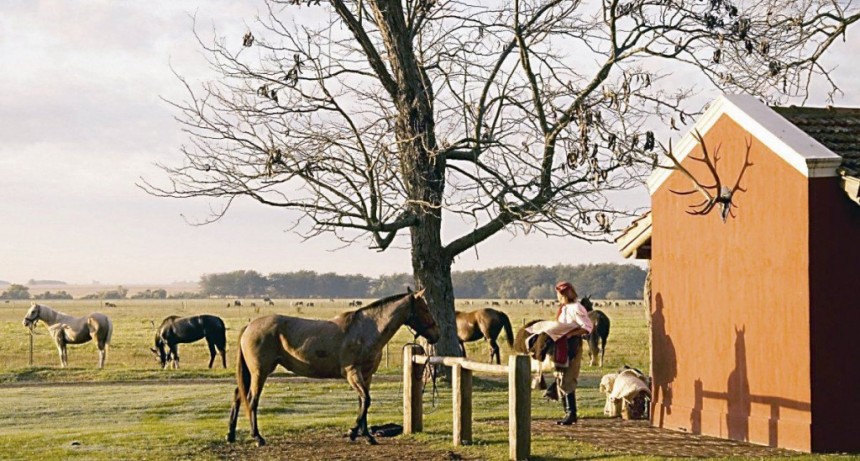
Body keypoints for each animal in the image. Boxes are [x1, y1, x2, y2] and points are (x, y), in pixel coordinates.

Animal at [225, 288, 440, 446]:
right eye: (425, 309)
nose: (436, 335)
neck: (365, 330)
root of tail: (249, 327)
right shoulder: (353, 373)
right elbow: (366, 400)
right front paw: (353, 432)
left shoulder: (367, 375)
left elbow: (363, 402)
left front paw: (366, 436)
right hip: (260, 372)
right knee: (251, 400)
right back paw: (258, 438)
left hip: (252, 373)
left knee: (238, 396)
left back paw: (231, 435)